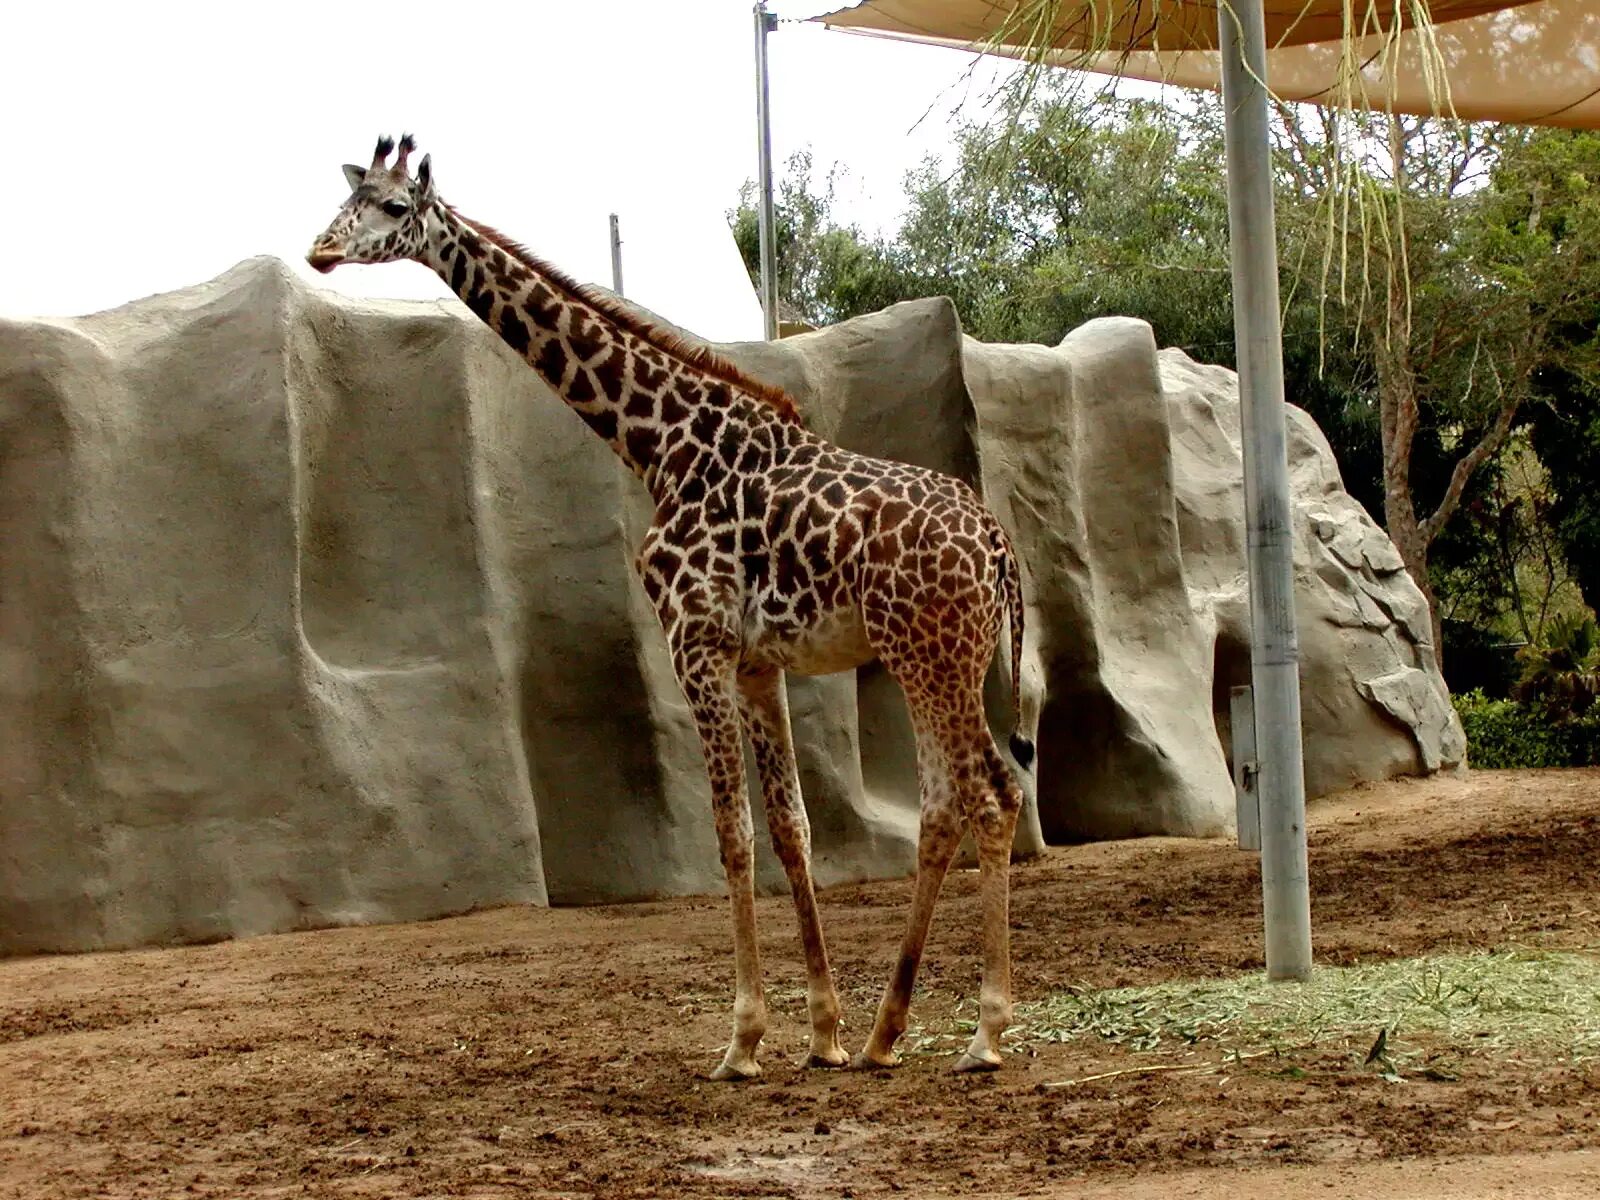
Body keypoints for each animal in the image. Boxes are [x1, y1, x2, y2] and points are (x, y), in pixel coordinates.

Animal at [308, 136, 1036, 1088]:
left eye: (395, 208)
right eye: (346, 198)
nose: (320, 251)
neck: (660, 446)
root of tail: (997, 546)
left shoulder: (695, 642)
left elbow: (730, 834)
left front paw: (743, 1042)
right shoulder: (757, 660)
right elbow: (792, 830)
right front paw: (823, 1033)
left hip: (931, 657)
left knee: (982, 794)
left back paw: (981, 1032)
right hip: (947, 659)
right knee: (960, 799)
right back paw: (885, 1033)